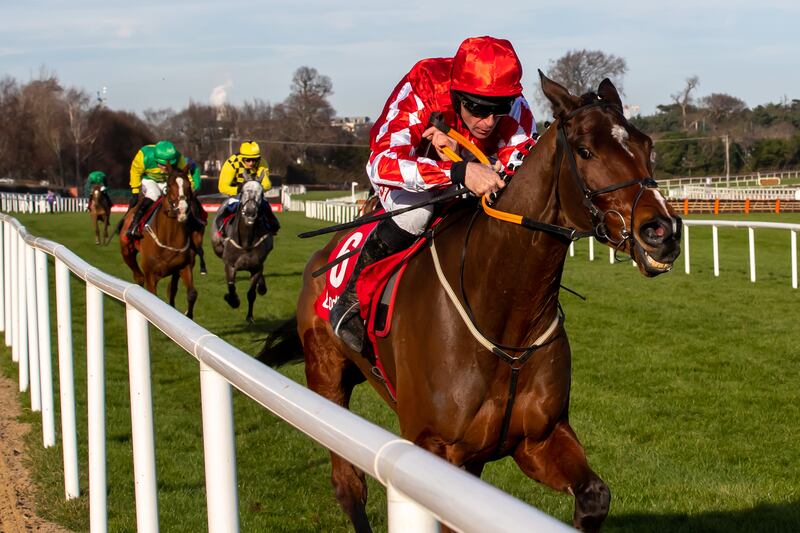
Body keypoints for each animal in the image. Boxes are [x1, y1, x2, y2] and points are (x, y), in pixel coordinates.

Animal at [211, 179, 274, 322]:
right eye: (243, 191)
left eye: (261, 193)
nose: (250, 211)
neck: (246, 241)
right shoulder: (230, 265)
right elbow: (231, 287)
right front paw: (233, 300)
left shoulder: (256, 267)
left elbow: (251, 293)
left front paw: (249, 317)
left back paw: (262, 287)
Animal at [258, 71, 680, 532]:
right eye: (586, 150)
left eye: (646, 145)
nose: (663, 231)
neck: (505, 319)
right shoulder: (435, 450)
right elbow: (393, 151)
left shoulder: (537, 438)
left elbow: (594, 497)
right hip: (326, 378)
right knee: (348, 485)